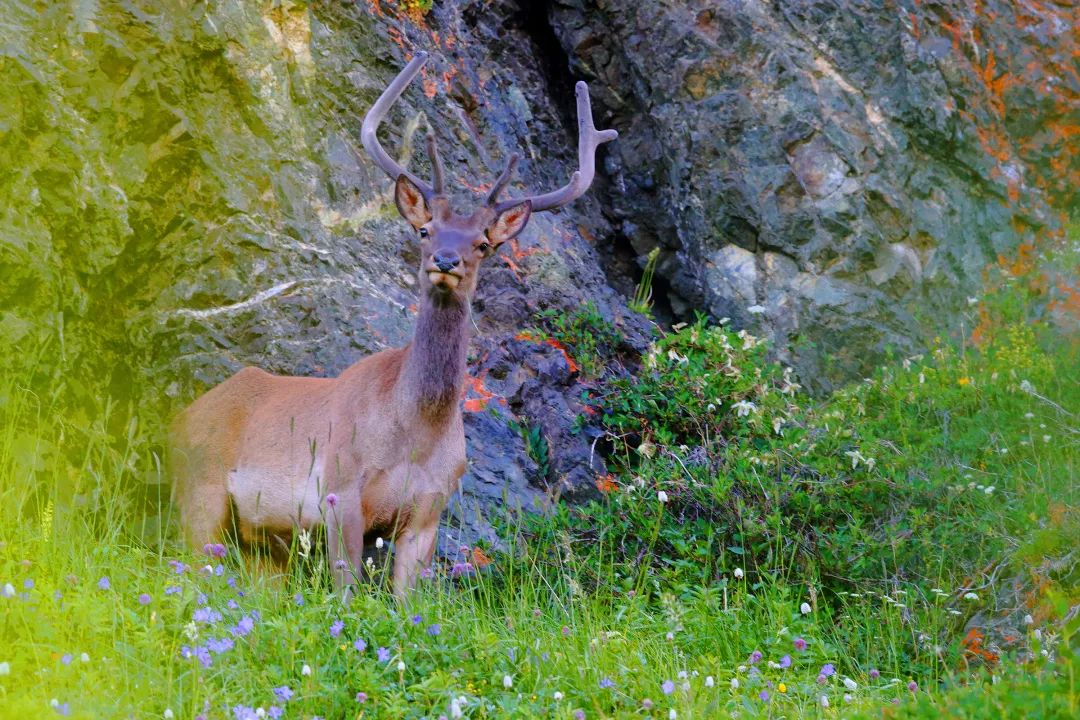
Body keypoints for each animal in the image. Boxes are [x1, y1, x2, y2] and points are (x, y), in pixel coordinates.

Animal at [172, 52, 622, 595]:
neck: (414, 435)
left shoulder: (429, 512)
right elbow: (346, 596)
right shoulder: (338, 490)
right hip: (201, 488)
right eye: (425, 230)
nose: (446, 260)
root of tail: (177, 418)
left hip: (263, 539)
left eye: (483, 243)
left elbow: (409, 604)